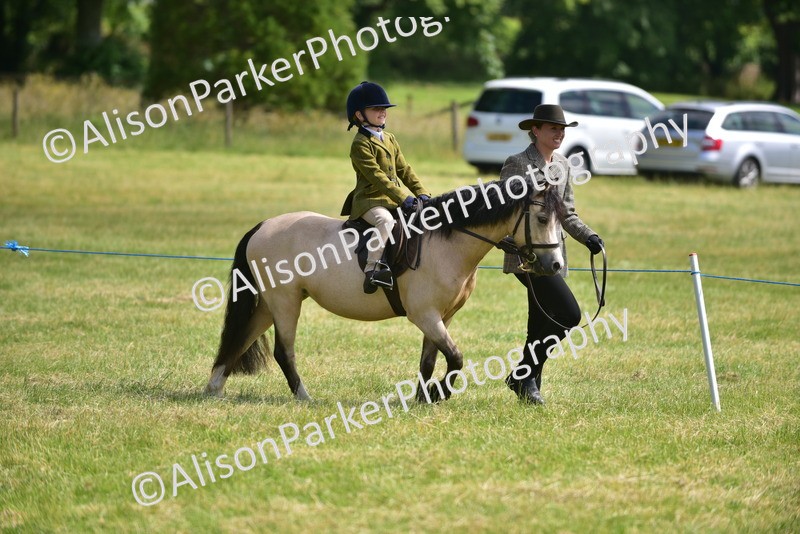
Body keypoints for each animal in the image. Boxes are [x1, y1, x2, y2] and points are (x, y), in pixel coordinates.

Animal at [204, 176, 566, 402]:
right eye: (542, 218)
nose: (555, 265)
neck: (447, 242)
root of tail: (261, 227)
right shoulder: (425, 315)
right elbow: (456, 357)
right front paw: (440, 394)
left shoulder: (441, 317)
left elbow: (430, 360)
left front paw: (423, 398)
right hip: (285, 301)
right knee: (283, 351)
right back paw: (304, 397)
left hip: (269, 303)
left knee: (240, 337)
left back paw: (214, 388)